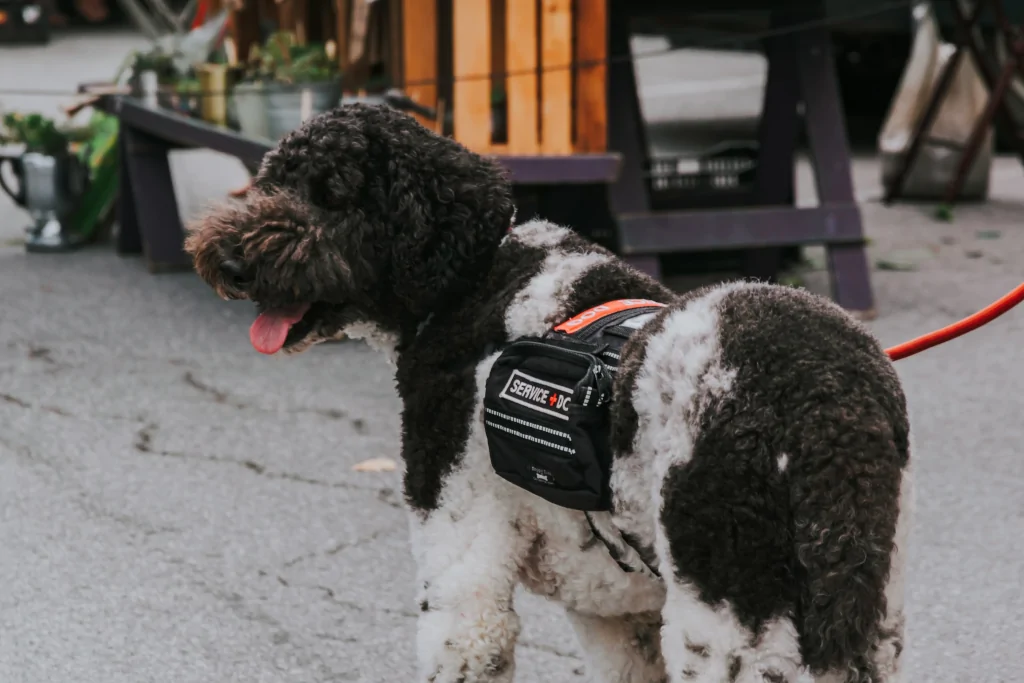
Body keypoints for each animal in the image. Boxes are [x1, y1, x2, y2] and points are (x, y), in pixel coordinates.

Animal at [190, 104, 913, 683]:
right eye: (272, 180)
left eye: (332, 195)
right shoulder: (616, 613)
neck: (474, 278)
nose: (228, 262)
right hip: (861, 613)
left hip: (733, 621)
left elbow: (466, 642)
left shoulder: (464, 568)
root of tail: (830, 410)